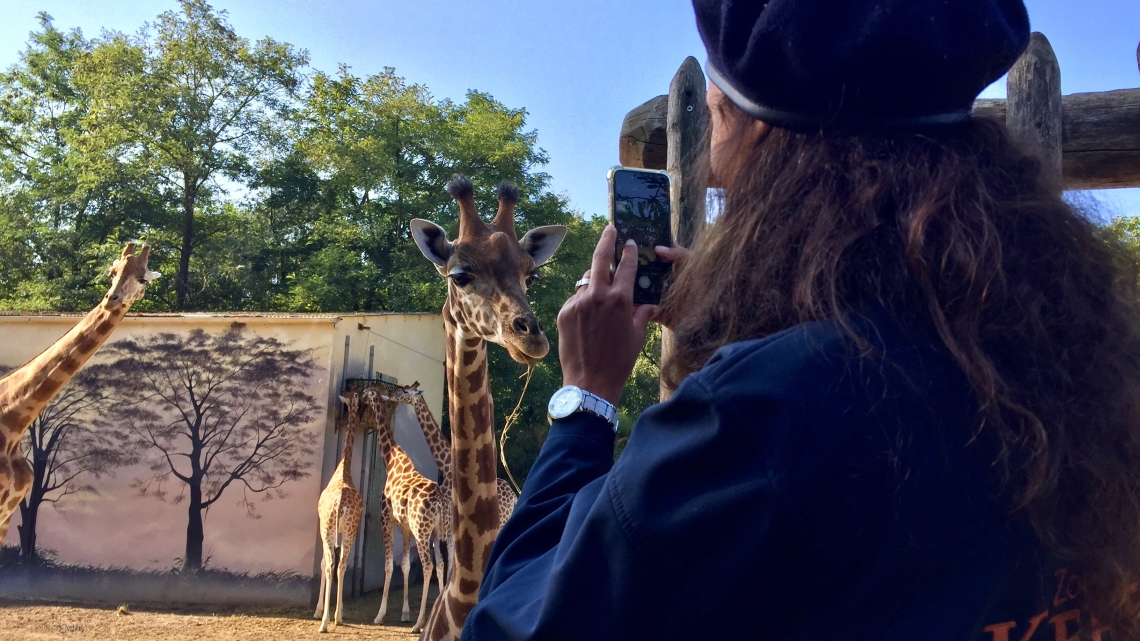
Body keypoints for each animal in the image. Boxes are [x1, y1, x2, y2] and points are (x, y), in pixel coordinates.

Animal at [367, 383, 446, 629]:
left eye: (366, 393)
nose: (390, 395)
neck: (391, 459)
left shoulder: (386, 519)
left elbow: (388, 565)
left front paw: (380, 615)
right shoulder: (405, 526)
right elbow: (405, 565)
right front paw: (404, 612)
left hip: (423, 532)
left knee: (429, 565)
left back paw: (419, 623)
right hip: (435, 532)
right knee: (440, 564)